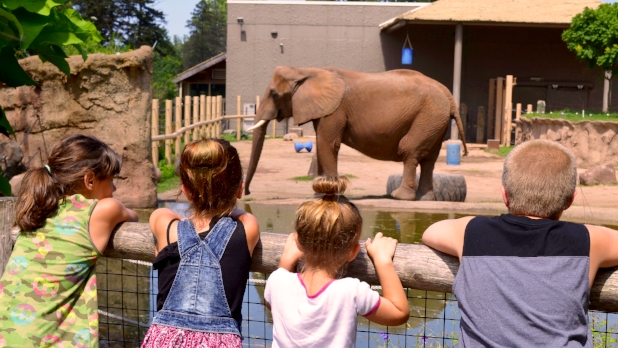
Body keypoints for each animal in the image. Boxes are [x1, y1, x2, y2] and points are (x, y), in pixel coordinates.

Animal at [243, 67, 464, 201]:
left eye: (274, 94)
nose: (247, 193)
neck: (306, 71)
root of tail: (448, 94)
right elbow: (322, 145)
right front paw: (319, 195)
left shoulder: (334, 111)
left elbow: (327, 144)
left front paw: (326, 195)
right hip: (436, 119)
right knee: (429, 159)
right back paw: (425, 199)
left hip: (429, 115)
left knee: (409, 151)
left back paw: (399, 197)